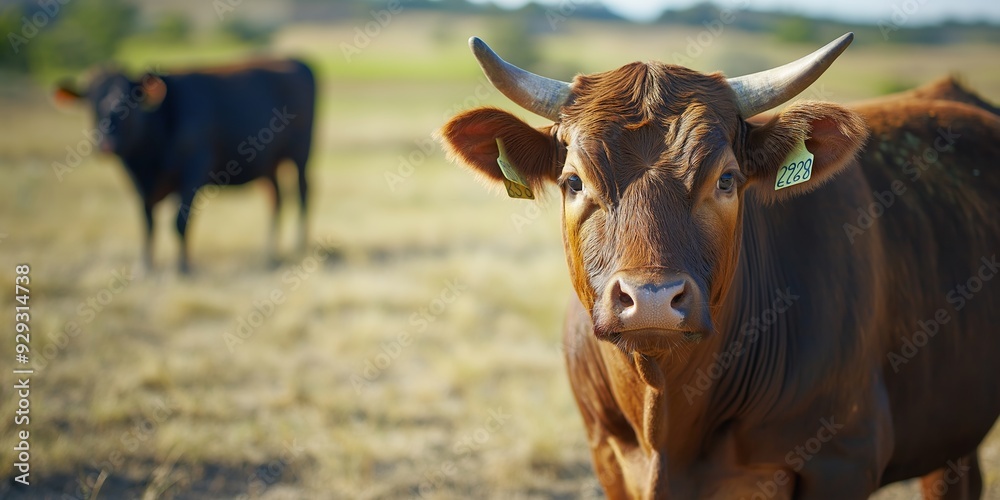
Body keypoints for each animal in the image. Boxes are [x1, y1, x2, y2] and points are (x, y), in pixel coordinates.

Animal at [56, 58, 314, 274]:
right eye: (91, 101)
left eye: (130, 100)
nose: (107, 144)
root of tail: (294, 60)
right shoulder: (142, 187)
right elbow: (148, 223)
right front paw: (146, 266)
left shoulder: (193, 173)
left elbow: (180, 222)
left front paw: (183, 268)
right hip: (269, 164)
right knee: (276, 198)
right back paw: (270, 253)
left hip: (300, 154)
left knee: (303, 192)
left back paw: (300, 245)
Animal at [442, 33, 1000, 498]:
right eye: (573, 181)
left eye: (727, 180)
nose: (651, 301)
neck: (666, 423)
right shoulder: (607, 456)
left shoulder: (843, 460)